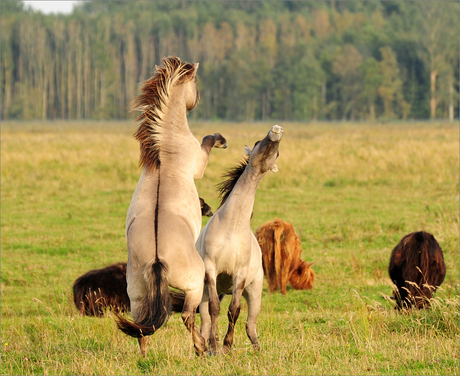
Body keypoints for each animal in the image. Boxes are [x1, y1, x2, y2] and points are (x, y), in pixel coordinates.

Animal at [115, 55, 226, 356]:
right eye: (195, 83)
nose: (196, 100)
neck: (164, 147)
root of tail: (157, 259)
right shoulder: (198, 164)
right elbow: (207, 142)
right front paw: (220, 139)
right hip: (193, 286)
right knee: (188, 315)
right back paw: (200, 347)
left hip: (137, 295)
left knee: (141, 325)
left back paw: (144, 357)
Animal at [195, 125, 282, 354]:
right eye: (257, 142)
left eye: (278, 153)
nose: (276, 130)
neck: (231, 228)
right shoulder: (211, 269)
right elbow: (215, 309)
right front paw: (215, 346)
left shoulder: (240, 275)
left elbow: (234, 310)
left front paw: (227, 346)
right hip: (203, 291)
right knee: (205, 321)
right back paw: (204, 347)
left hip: (254, 293)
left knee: (250, 324)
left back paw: (257, 349)